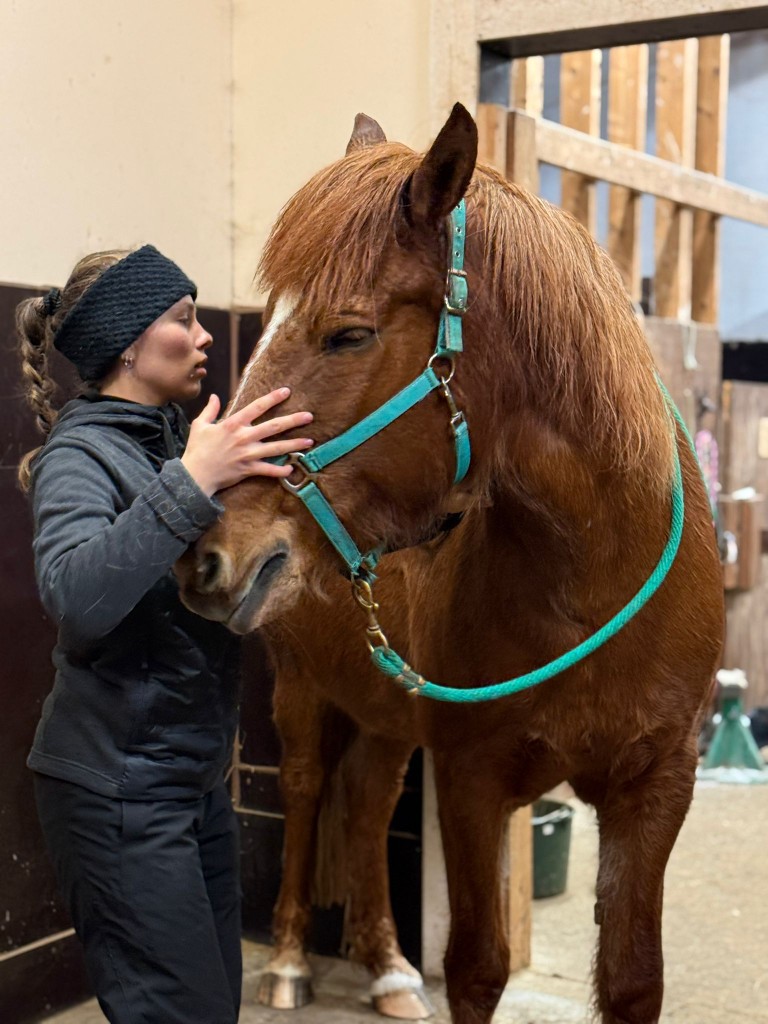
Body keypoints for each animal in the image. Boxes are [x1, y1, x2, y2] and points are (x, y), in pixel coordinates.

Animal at [176, 103, 724, 1024]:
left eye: (348, 333)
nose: (203, 558)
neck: (592, 579)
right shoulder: (473, 780)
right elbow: (476, 968)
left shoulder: (658, 785)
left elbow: (633, 980)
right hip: (303, 690)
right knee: (307, 788)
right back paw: (287, 962)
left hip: (388, 715)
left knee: (366, 807)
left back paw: (390, 969)